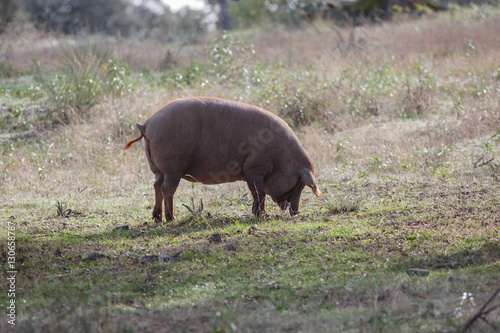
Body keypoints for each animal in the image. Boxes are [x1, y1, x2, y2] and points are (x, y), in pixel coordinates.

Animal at [123, 96, 322, 220]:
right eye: (299, 184)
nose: (296, 212)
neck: (281, 157)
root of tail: (147, 124)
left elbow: (257, 193)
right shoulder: (254, 167)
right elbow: (259, 192)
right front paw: (263, 215)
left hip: (158, 169)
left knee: (156, 185)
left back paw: (157, 218)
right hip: (172, 167)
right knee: (167, 189)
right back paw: (171, 218)